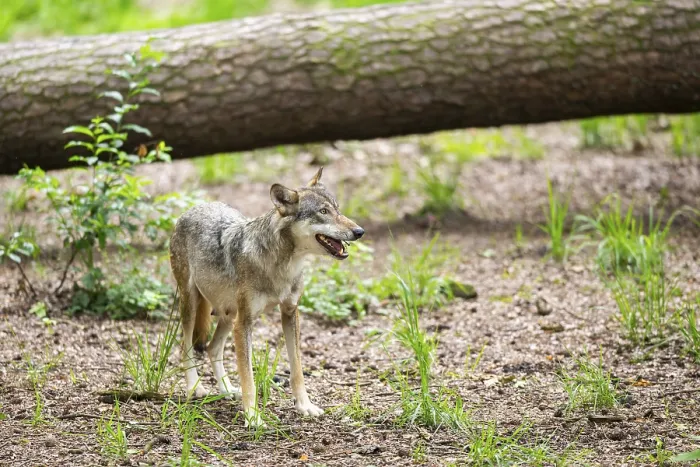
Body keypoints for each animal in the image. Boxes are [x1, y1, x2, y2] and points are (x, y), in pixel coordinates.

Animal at [169, 167, 364, 426]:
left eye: (337, 209)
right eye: (323, 212)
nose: (360, 231)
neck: (282, 265)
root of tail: (195, 206)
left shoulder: (290, 313)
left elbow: (297, 370)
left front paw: (305, 406)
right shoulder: (245, 323)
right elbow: (248, 377)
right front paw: (252, 417)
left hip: (228, 314)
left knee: (212, 348)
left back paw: (226, 389)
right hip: (193, 304)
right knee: (185, 346)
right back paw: (195, 388)